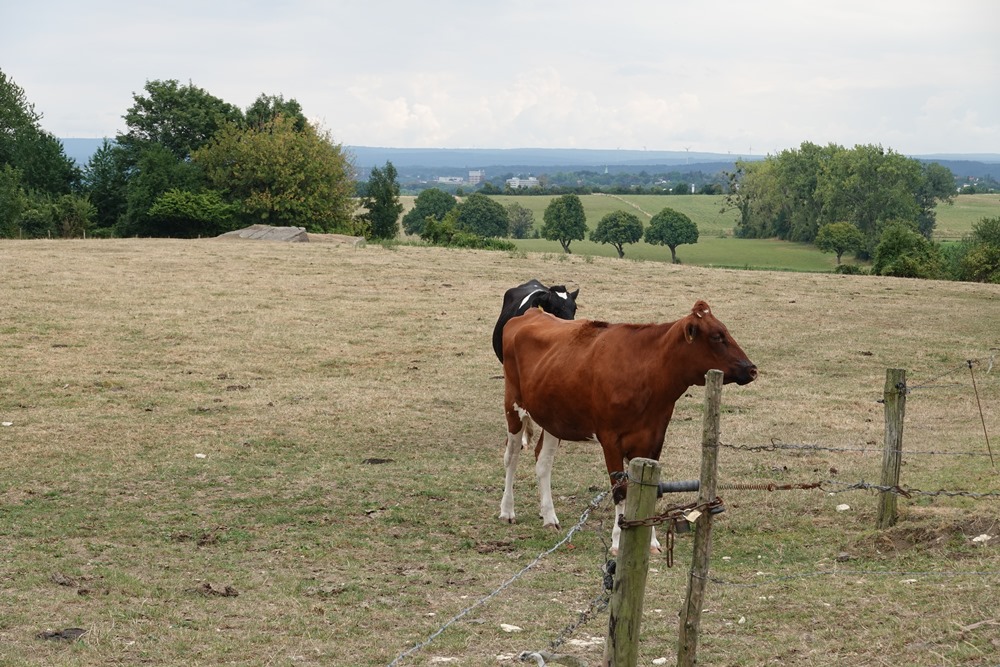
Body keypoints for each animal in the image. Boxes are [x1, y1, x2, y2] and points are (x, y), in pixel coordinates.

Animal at [500, 302, 756, 552]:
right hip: (513, 406)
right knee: (511, 457)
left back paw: (549, 517)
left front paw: (651, 542)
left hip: (554, 417)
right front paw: (617, 541)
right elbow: (620, 490)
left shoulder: (654, 438)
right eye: (717, 336)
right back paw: (507, 510)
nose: (752, 368)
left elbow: (648, 489)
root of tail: (532, 313)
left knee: (543, 461)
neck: (647, 374)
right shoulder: (610, 439)